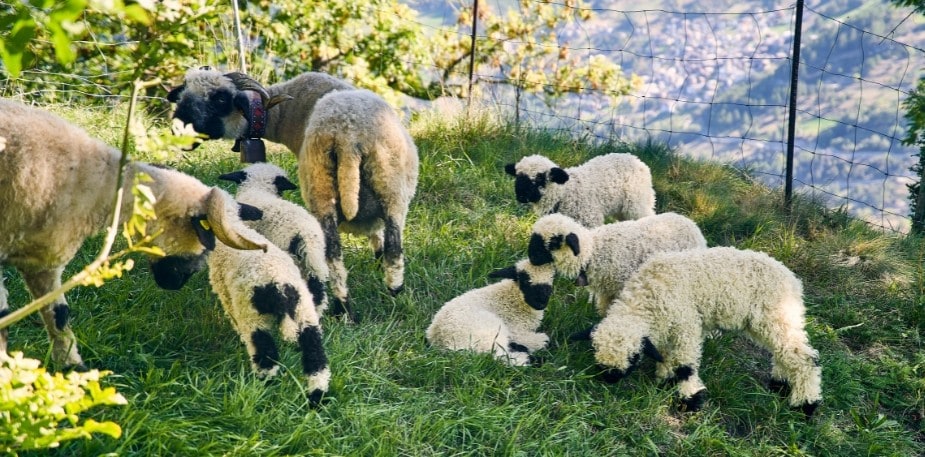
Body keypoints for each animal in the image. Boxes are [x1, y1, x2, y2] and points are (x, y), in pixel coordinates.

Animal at [0, 99, 267, 370]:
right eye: (204, 241)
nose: (176, 284)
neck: (100, 187)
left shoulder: (40, 260)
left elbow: (57, 317)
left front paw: (71, 368)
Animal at [206, 214, 329, 405]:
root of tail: (281, 288)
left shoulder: (224, 292)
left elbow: (232, 316)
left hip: (254, 318)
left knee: (265, 357)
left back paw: (264, 389)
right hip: (305, 313)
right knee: (316, 358)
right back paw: (317, 397)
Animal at [425, 260, 555, 367]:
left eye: (551, 280)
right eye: (525, 281)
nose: (541, 303)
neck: (513, 298)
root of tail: (440, 339)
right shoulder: (515, 330)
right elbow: (543, 340)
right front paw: (541, 342)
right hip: (490, 332)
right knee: (500, 357)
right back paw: (531, 359)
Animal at [505, 153, 656, 227]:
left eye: (540, 178)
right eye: (518, 176)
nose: (521, 196)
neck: (564, 194)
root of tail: (636, 159)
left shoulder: (590, 220)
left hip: (638, 203)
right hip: (622, 209)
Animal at [591, 246, 822, 417]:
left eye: (633, 357)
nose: (609, 379)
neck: (647, 296)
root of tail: (793, 280)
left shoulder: (686, 324)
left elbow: (684, 365)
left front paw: (689, 400)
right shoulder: (669, 326)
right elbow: (667, 356)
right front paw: (665, 380)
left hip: (776, 316)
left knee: (804, 358)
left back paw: (806, 404)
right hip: (768, 323)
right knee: (783, 352)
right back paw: (780, 385)